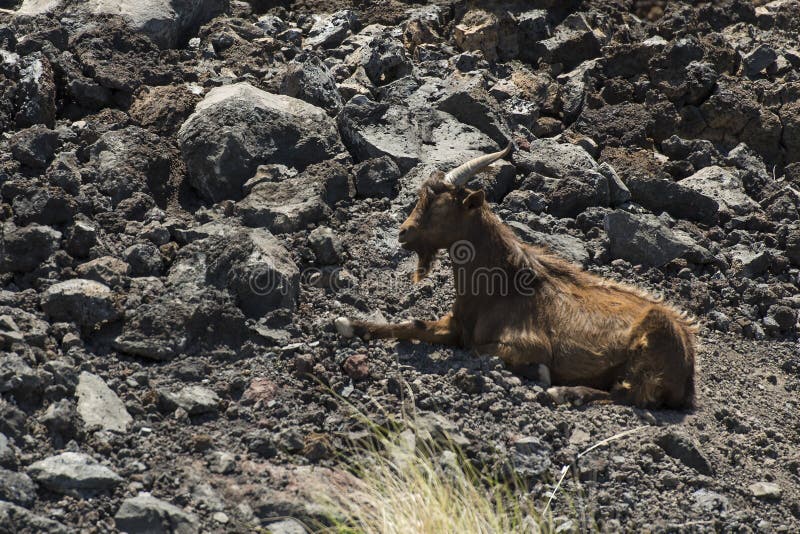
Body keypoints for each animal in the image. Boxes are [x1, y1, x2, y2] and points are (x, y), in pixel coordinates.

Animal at [335, 145, 697, 409]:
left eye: (440, 208)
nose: (403, 233)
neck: (498, 286)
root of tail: (688, 368)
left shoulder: (529, 344)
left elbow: (478, 350)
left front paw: (541, 374)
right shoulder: (455, 325)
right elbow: (413, 324)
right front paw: (348, 323)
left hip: (650, 347)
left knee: (630, 394)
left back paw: (565, 393)